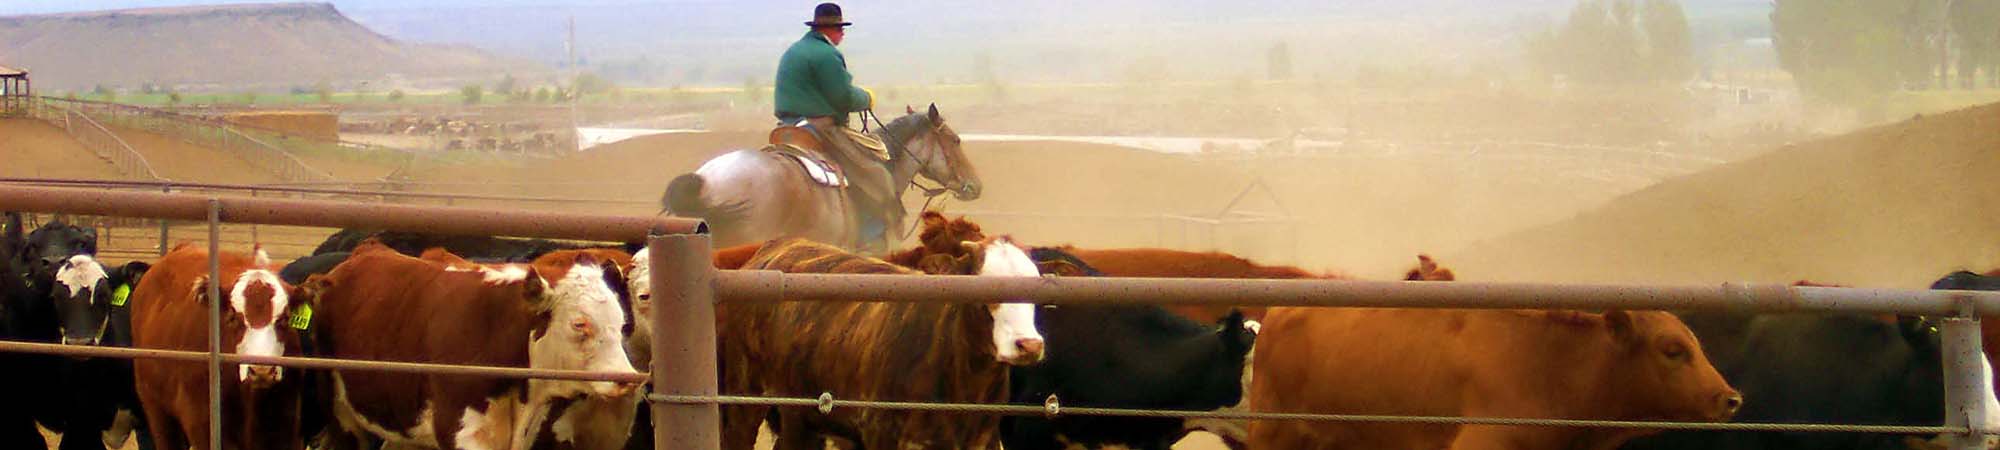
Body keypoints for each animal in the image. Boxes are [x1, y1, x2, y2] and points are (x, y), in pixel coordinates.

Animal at [130, 243, 314, 450]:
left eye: (285, 318)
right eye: (233, 316)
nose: (261, 370)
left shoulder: (288, 432)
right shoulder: (203, 428)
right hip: (158, 412)